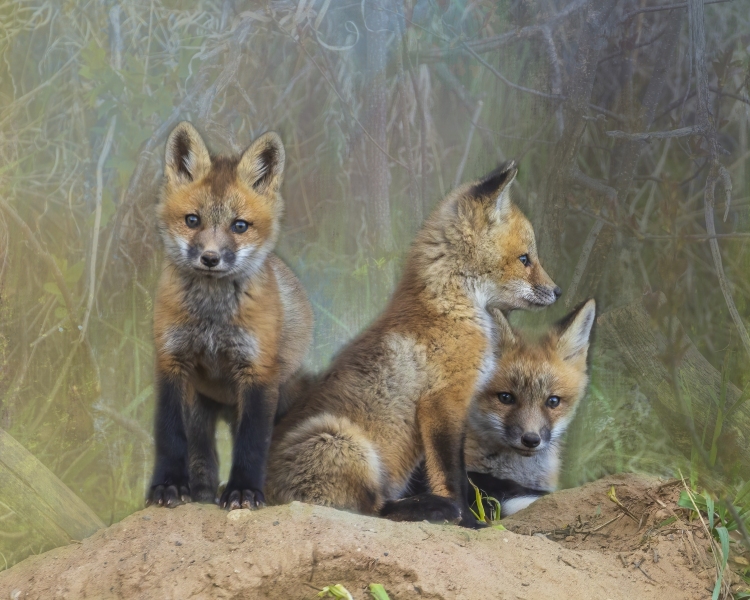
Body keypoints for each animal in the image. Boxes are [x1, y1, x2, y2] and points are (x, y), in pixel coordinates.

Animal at [147, 122, 313, 511]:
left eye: (240, 226)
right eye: (192, 221)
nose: (210, 258)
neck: (212, 320)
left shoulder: (258, 372)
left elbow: (252, 445)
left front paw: (244, 491)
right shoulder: (171, 361)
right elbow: (169, 434)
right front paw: (168, 485)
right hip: (198, 406)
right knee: (202, 450)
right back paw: (200, 490)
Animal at [266, 160, 560, 527]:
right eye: (525, 259)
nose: (557, 291)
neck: (451, 306)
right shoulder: (443, 402)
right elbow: (451, 476)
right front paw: (468, 521)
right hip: (342, 440)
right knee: (370, 511)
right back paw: (429, 508)